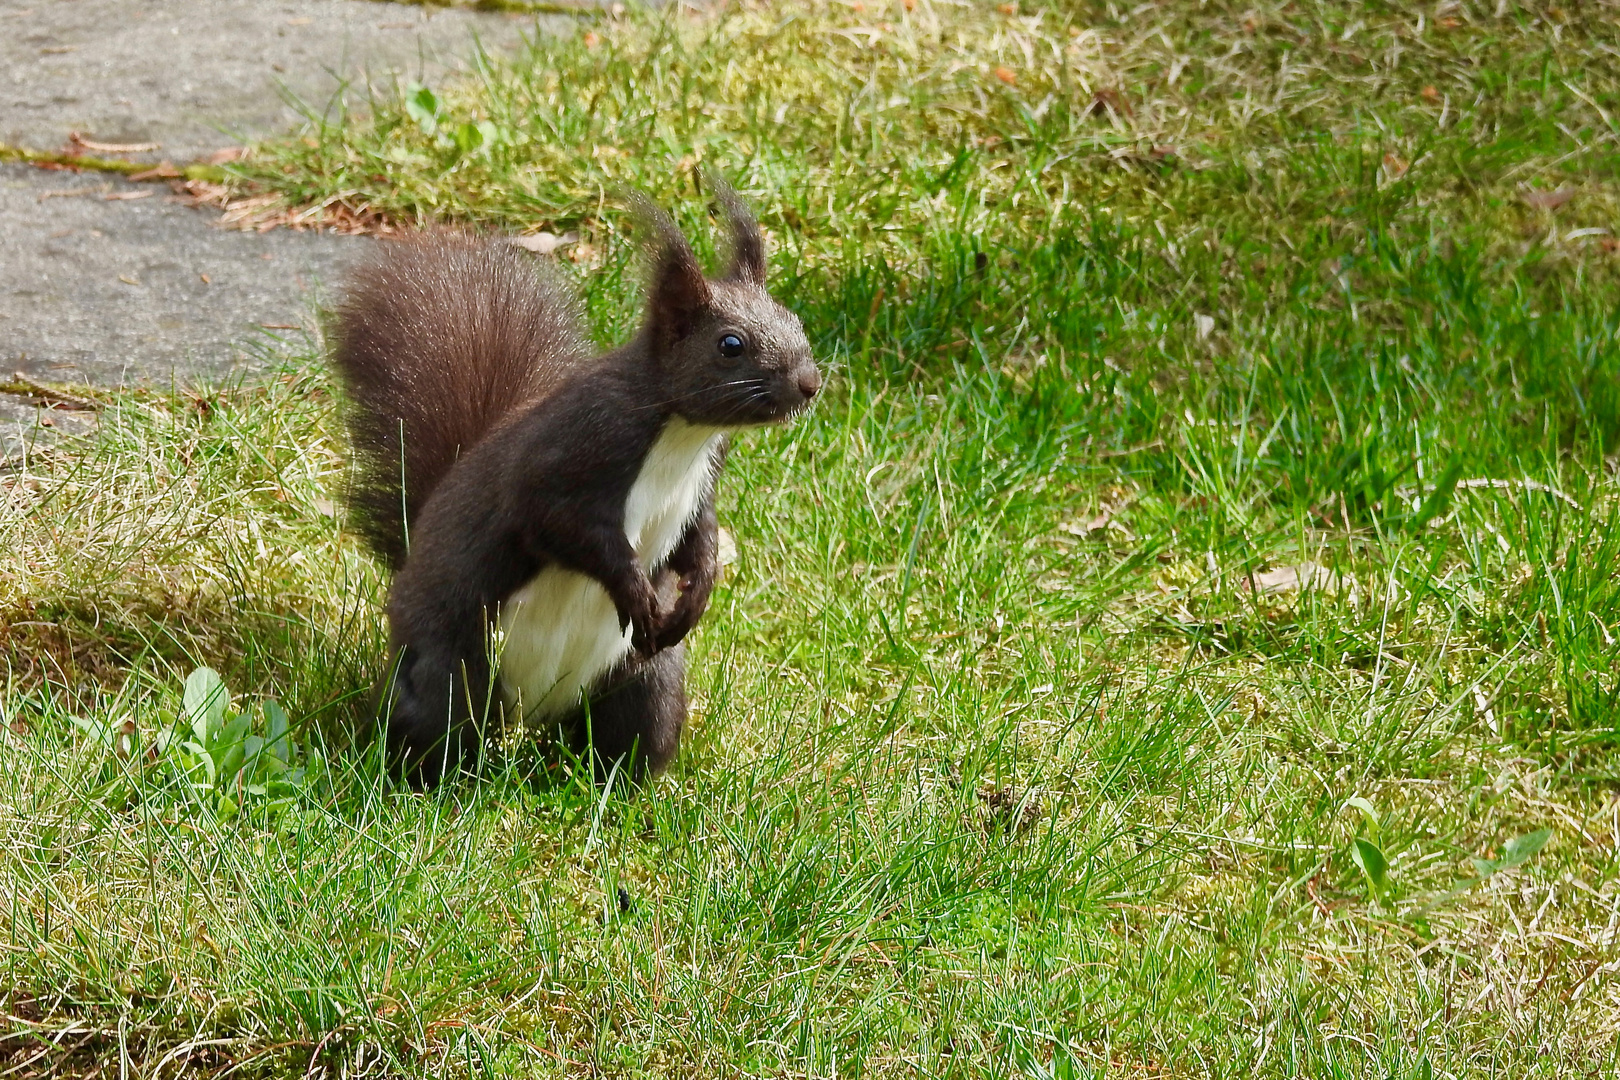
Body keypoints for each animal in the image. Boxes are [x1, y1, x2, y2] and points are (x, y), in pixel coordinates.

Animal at [330, 179, 822, 786]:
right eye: (730, 345)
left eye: (794, 320)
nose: (810, 383)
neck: (681, 435)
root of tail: (527, 713)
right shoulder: (571, 457)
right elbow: (566, 529)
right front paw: (634, 590)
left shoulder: (702, 484)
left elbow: (699, 538)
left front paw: (698, 593)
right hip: (448, 672)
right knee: (435, 726)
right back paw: (422, 783)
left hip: (644, 681)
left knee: (625, 738)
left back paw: (626, 790)